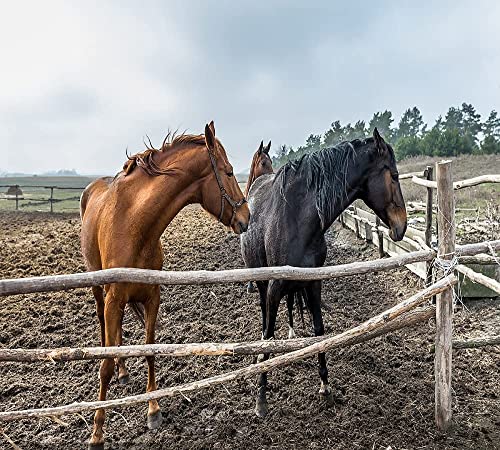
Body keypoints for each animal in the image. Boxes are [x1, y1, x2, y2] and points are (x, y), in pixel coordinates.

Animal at [80, 121, 250, 448]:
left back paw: (123, 371)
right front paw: (97, 432)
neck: (134, 226)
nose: (246, 217)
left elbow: (149, 351)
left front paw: (153, 410)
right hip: (99, 291)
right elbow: (104, 366)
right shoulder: (113, 298)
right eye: (230, 171)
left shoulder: (152, 297)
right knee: (104, 330)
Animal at [240, 128, 408, 416]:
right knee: (264, 319)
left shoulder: (313, 281)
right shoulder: (274, 285)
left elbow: (319, 330)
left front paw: (325, 387)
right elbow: (269, 336)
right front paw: (261, 398)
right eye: (394, 176)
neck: (297, 218)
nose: (403, 225)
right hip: (261, 282)